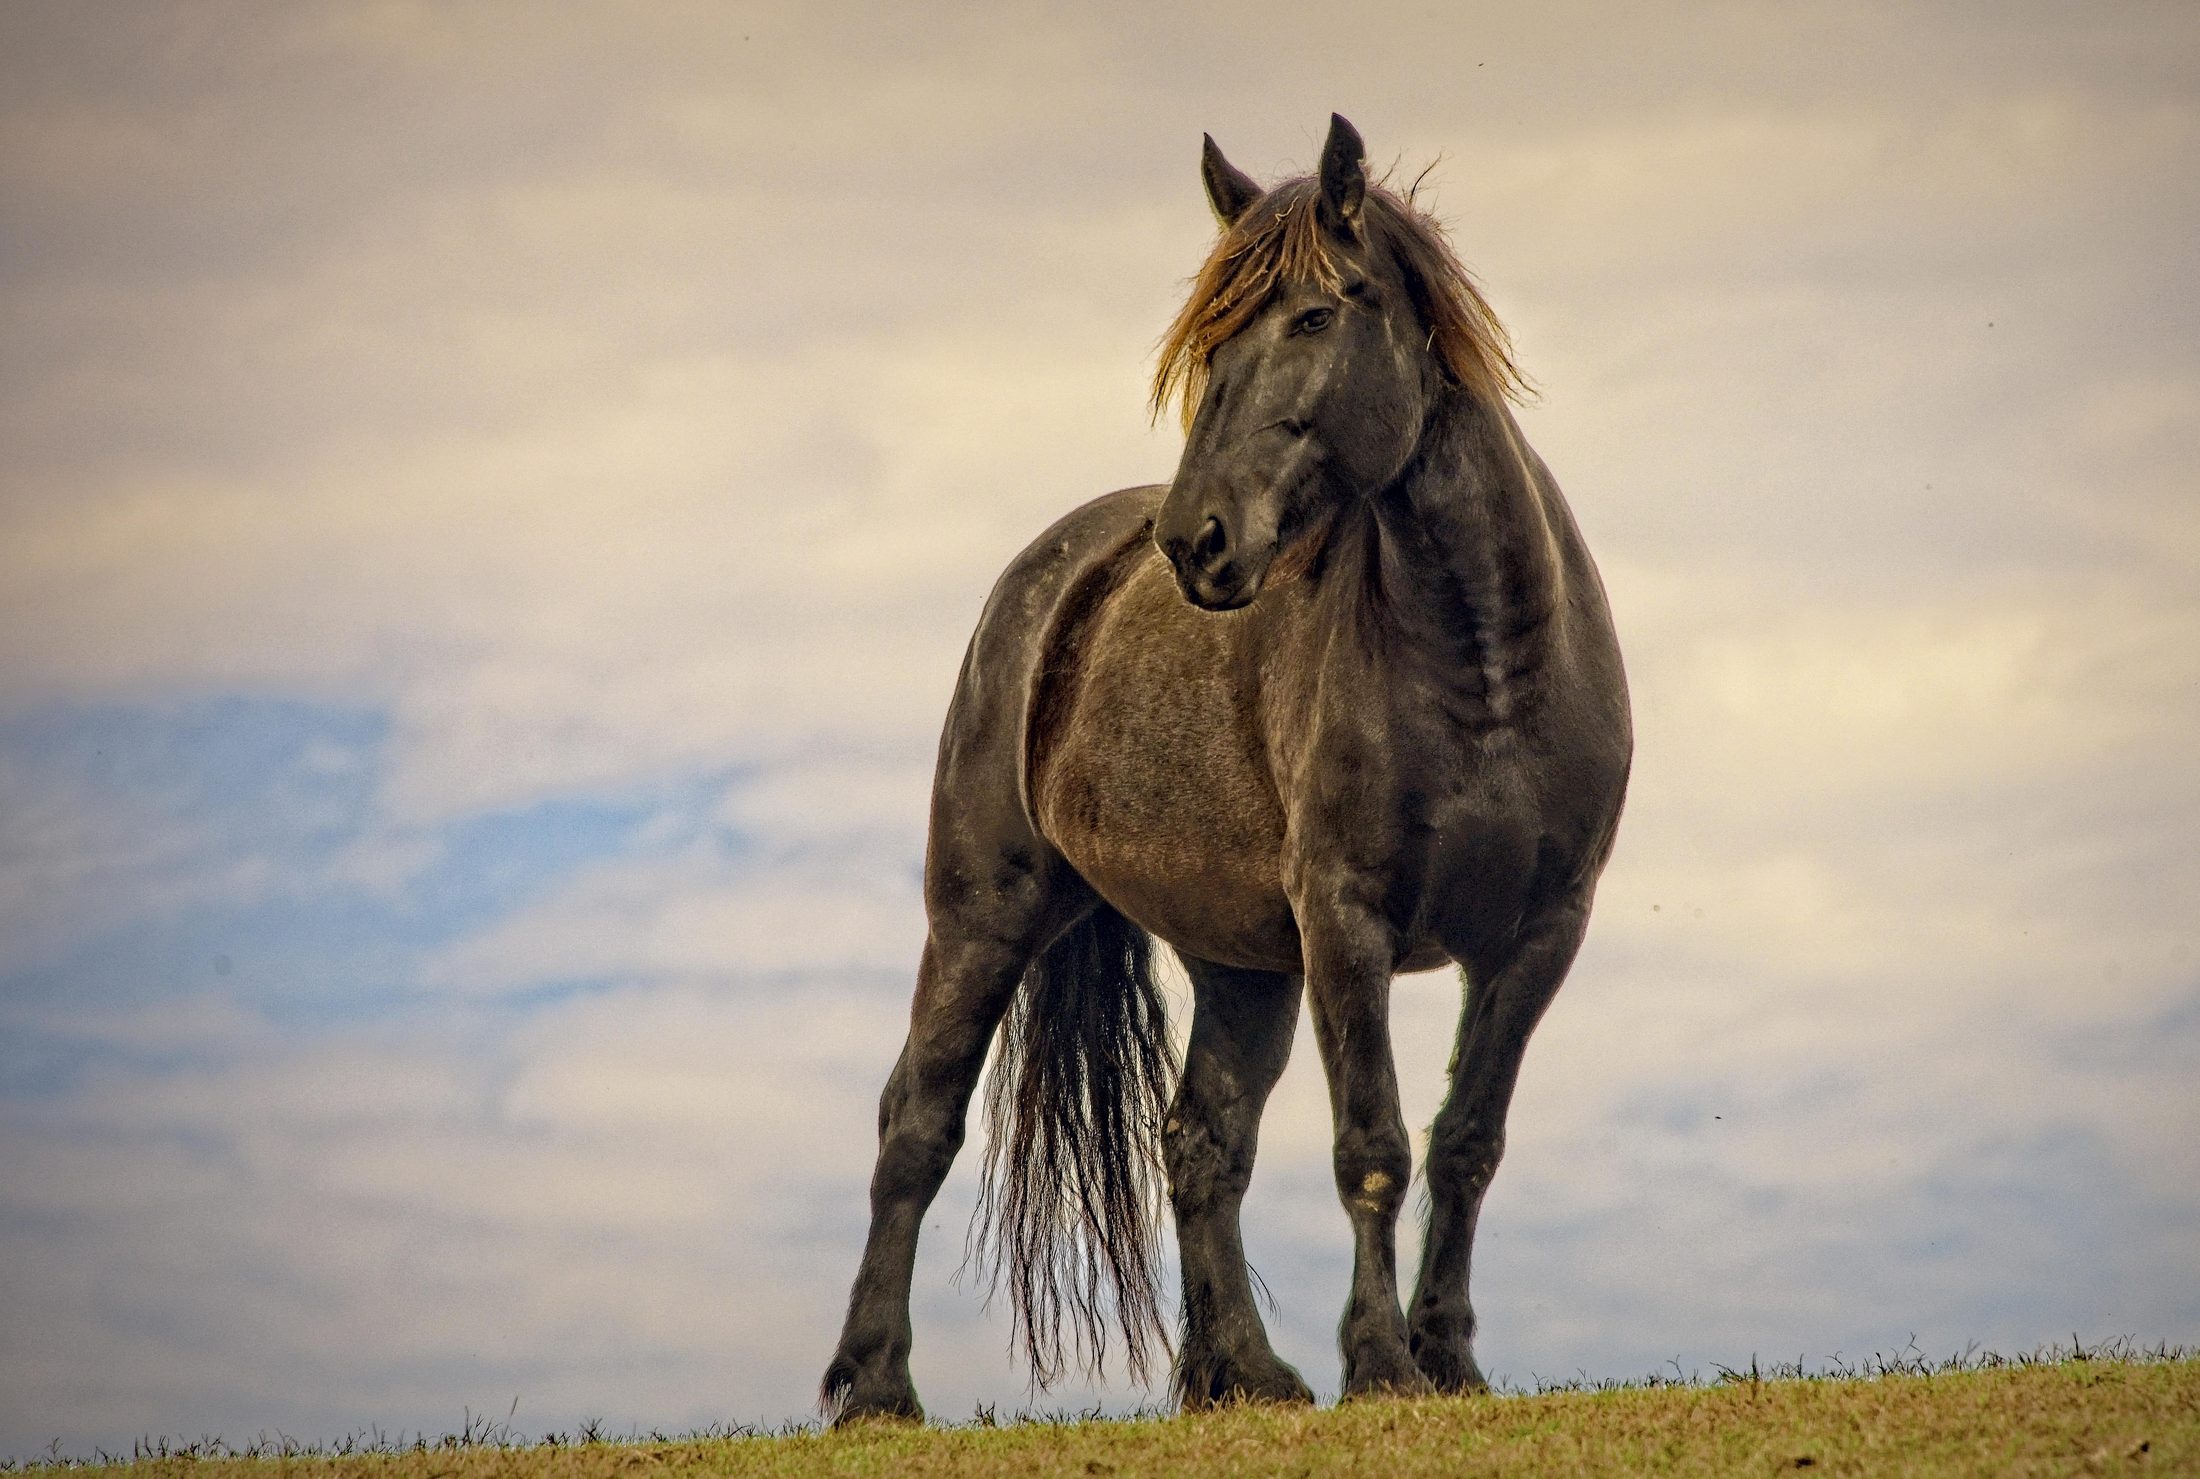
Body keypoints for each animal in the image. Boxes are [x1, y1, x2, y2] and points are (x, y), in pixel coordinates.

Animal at [821, 114, 1631, 1422]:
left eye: (1312, 316)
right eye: (1208, 340)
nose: (1195, 542)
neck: (1484, 668)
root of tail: (1056, 574)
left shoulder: (1539, 934)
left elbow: (1465, 1143)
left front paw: (1449, 1361)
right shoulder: (1346, 920)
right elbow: (1374, 1148)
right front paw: (1382, 1365)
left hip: (1242, 966)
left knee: (1201, 1145)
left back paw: (1239, 1375)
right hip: (985, 918)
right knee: (918, 1123)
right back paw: (876, 1386)